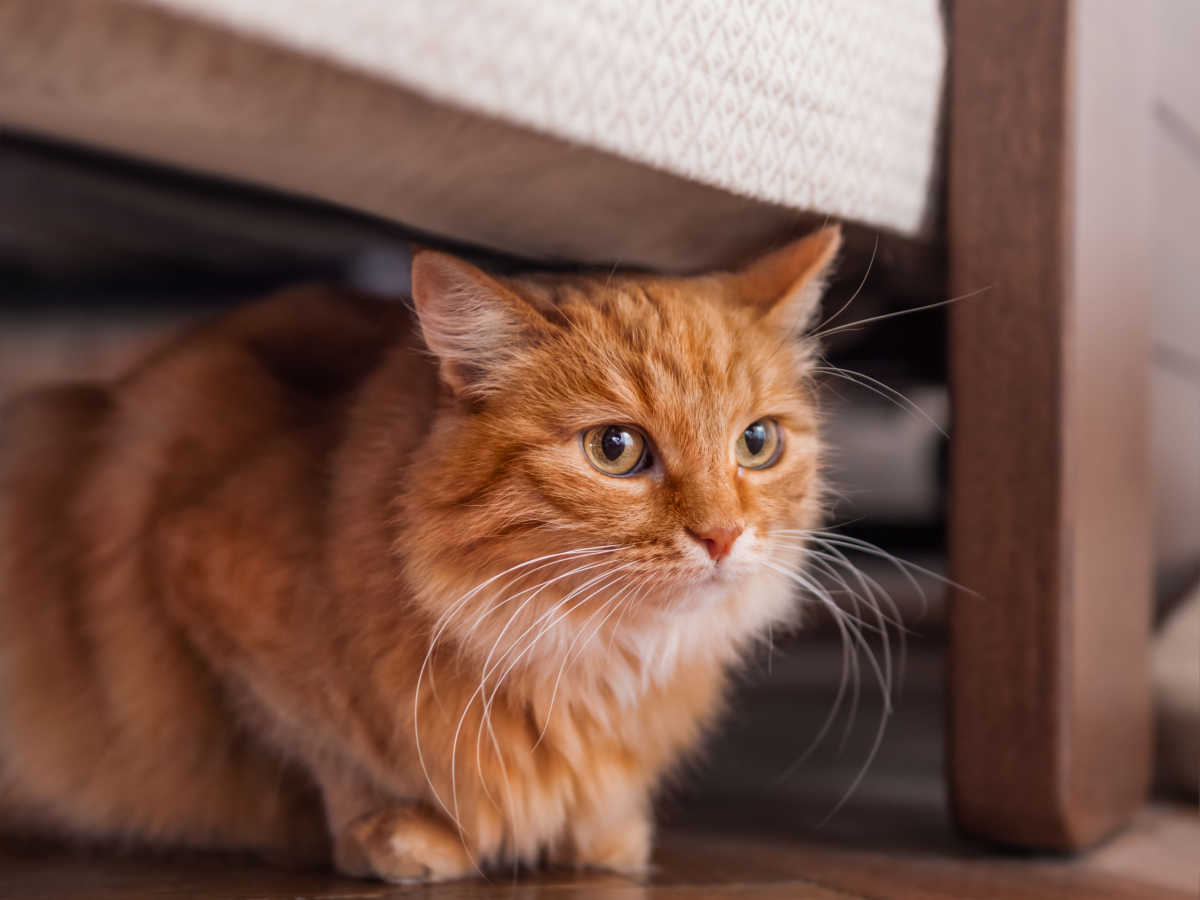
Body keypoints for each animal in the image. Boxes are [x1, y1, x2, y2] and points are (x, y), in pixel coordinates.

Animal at [0, 224, 844, 883]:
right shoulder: (197, 569)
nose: (723, 535)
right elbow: (327, 748)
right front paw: (397, 832)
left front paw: (606, 835)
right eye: (616, 449)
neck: (587, 657)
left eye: (757, 442)